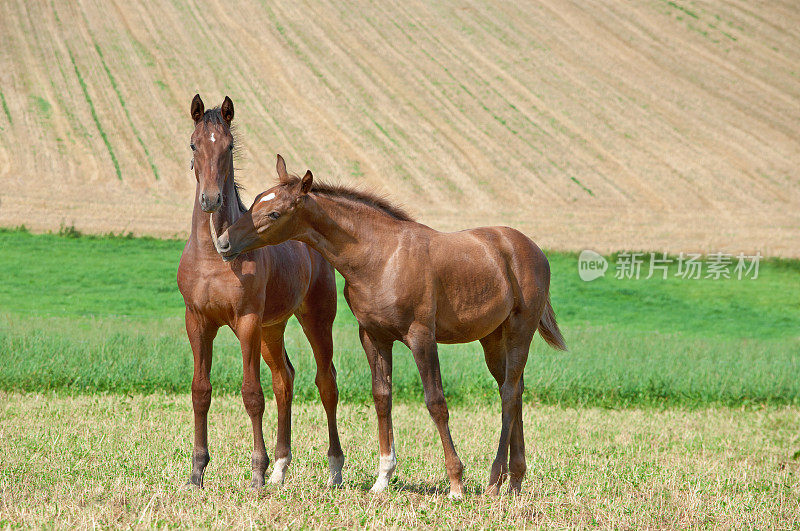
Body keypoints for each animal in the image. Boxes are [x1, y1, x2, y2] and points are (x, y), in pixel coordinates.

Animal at [177, 100, 342, 490]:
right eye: (194, 144)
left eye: (229, 146)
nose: (210, 199)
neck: (214, 256)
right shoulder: (197, 322)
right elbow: (200, 391)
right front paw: (197, 472)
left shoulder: (247, 322)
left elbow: (252, 394)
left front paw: (256, 471)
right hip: (272, 328)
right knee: (285, 379)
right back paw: (281, 465)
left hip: (315, 319)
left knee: (326, 382)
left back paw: (333, 469)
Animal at [212, 156, 564, 496]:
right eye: (255, 201)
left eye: (274, 212)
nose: (224, 243)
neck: (380, 258)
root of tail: (533, 249)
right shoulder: (373, 336)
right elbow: (382, 397)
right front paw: (383, 478)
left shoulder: (421, 337)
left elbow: (436, 401)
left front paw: (456, 483)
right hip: (492, 338)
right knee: (514, 388)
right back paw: (514, 479)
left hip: (520, 330)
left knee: (508, 392)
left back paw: (494, 480)